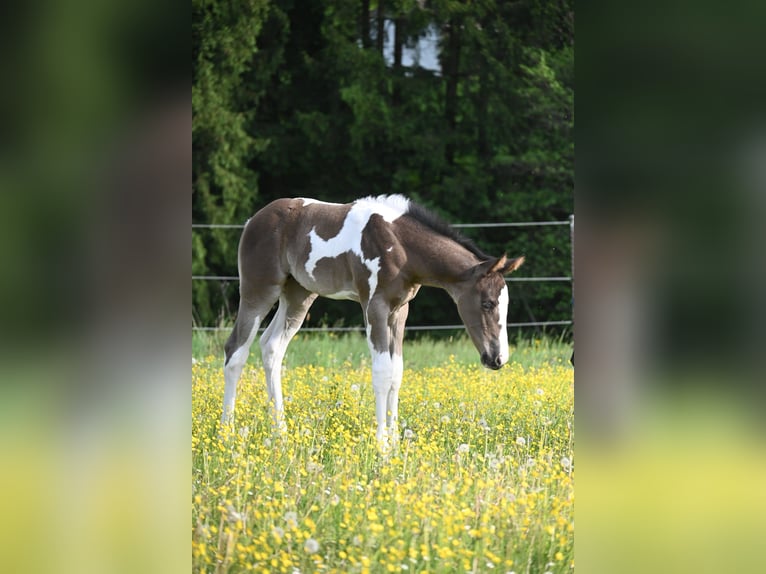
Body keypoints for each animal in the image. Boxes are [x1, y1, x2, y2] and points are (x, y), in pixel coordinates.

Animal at [222, 195, 524, 446]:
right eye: (487, 303)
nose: (497, 359)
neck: (401, 246)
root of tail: (253, 220)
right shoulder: (374, 305)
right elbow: (382, 373)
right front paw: (382, 445)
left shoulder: (399, 311)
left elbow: (396, 373)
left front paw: (395, 443)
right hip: (259, 289)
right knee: (236, 349)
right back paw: (228, 431)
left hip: (298, 295)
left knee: (271, 347)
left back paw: (281, 433)